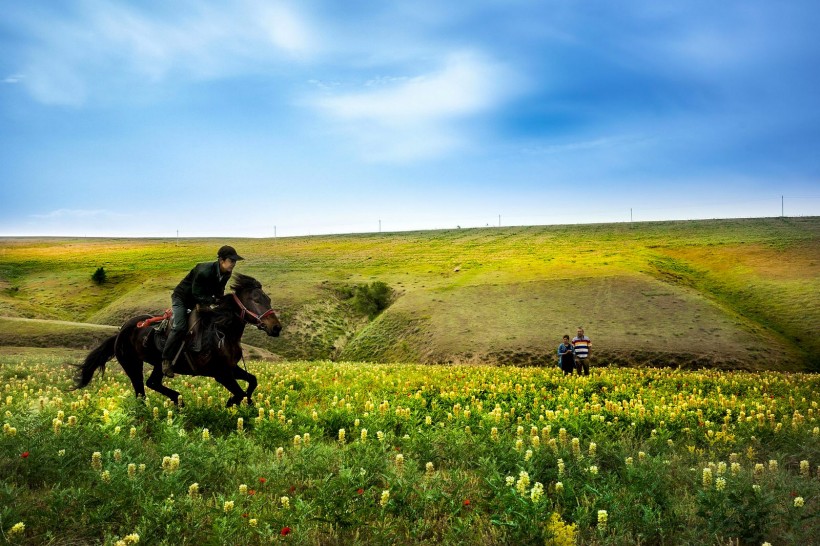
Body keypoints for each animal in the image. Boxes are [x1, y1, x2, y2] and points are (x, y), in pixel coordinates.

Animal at [77, 272, 282, 404]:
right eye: (256, 300)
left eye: (268, 299)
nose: (276, 327)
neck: (223, 331)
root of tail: (120, 333)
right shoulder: (221, 374)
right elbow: (239, 394)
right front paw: (232, 402)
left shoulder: (231, 368)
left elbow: (252, 381)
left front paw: (245, 404)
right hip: (132, 365)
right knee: (142, 392)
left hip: (158, 364)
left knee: (152, 383)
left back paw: (177, 399)